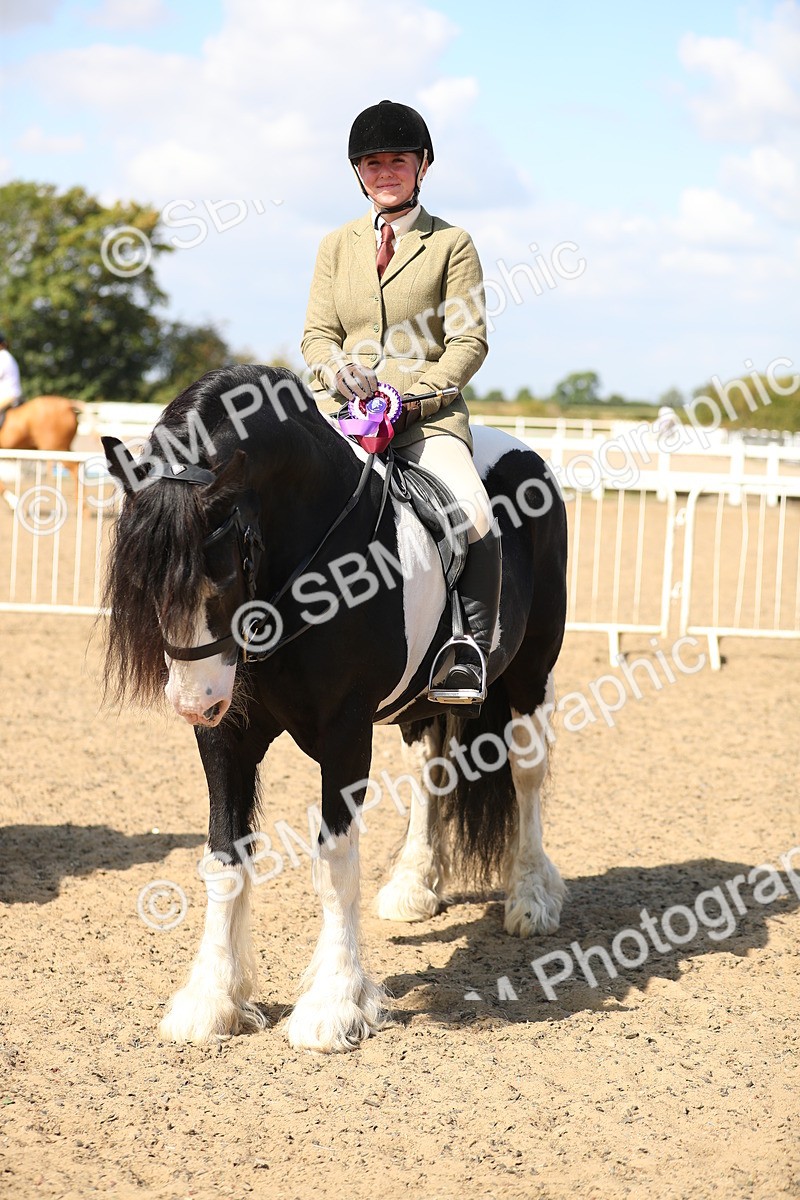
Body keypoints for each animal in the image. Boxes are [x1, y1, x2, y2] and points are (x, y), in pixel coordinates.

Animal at [101, 364, 568, 1054]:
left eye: (223, 569)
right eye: (144, 579)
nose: (193, 701)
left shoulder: (345, 733)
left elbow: (336, 862)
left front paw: (334, 1004)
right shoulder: (226, 738)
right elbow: (223, 858)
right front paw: (212, 1000)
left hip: (531, 674)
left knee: (527, 774)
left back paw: (532, 897)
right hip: (423, 705)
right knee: (433, 775)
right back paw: (412, 886)